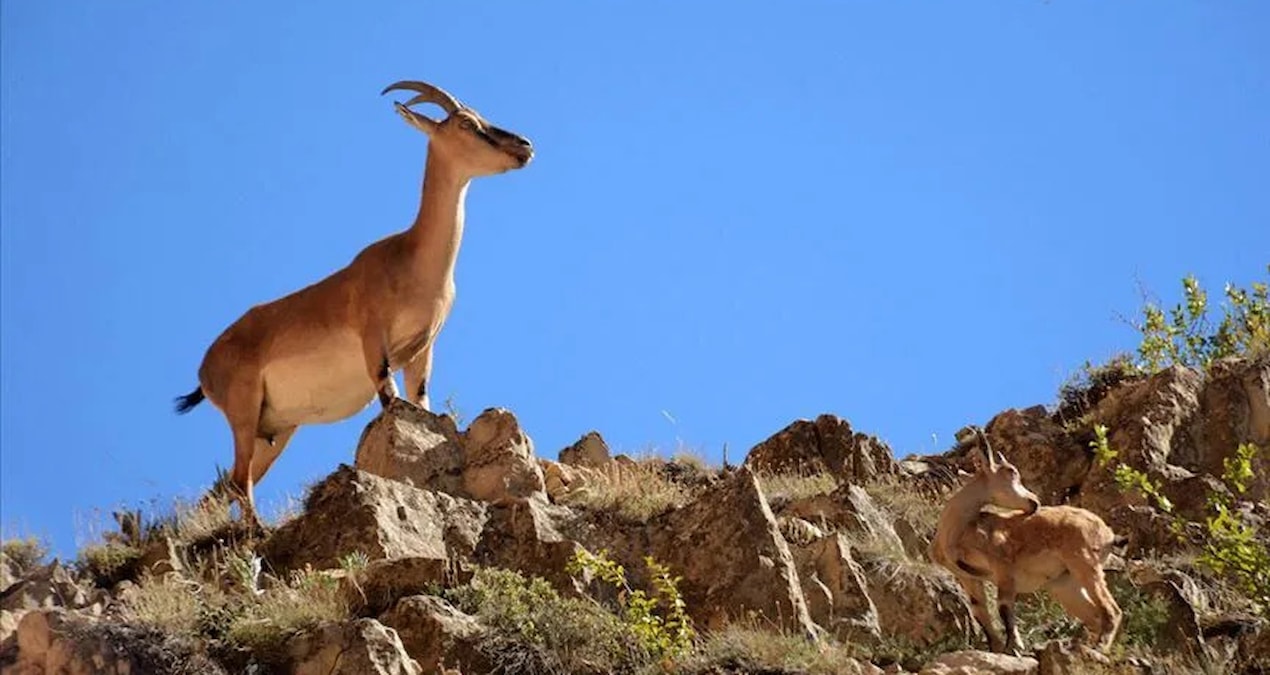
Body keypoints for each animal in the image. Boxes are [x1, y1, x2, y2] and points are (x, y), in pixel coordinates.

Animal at [173, 80, 534, 527]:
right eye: (467, 123)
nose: (524, 146)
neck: (412, 260)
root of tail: (204, 368)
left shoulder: (423, 348)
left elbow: (420, 401)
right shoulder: (372, 338)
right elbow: (389, 398)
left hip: (274, 429)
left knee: (226, 486)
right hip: (243, 409)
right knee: (239, 482)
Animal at [930, 427, 1124, 655]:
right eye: (1011, 472)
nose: (1034, 502)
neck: (955, 533)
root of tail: (1108, 533)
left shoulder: (1002, 567)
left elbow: (1004, 607)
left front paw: (1014, 647)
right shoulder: (968, 577)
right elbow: (980, 612)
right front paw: (997, 649)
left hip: (1085, 564)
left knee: (1111, 609)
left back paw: (1099, 648)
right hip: (1065, 584)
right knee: (1094, 615)